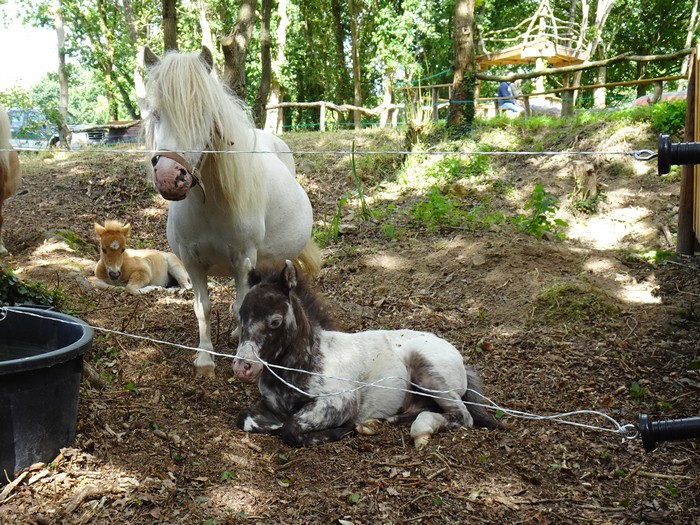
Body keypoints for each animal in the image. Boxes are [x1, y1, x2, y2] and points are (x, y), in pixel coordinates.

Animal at [145, 47, 320, 376]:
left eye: (202, 113)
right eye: (155, 113)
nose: (170, 177)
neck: (209, 207)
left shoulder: (242, 260)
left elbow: (242, 306)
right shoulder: (192, 262)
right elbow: (203, 308)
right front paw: (205, 359)